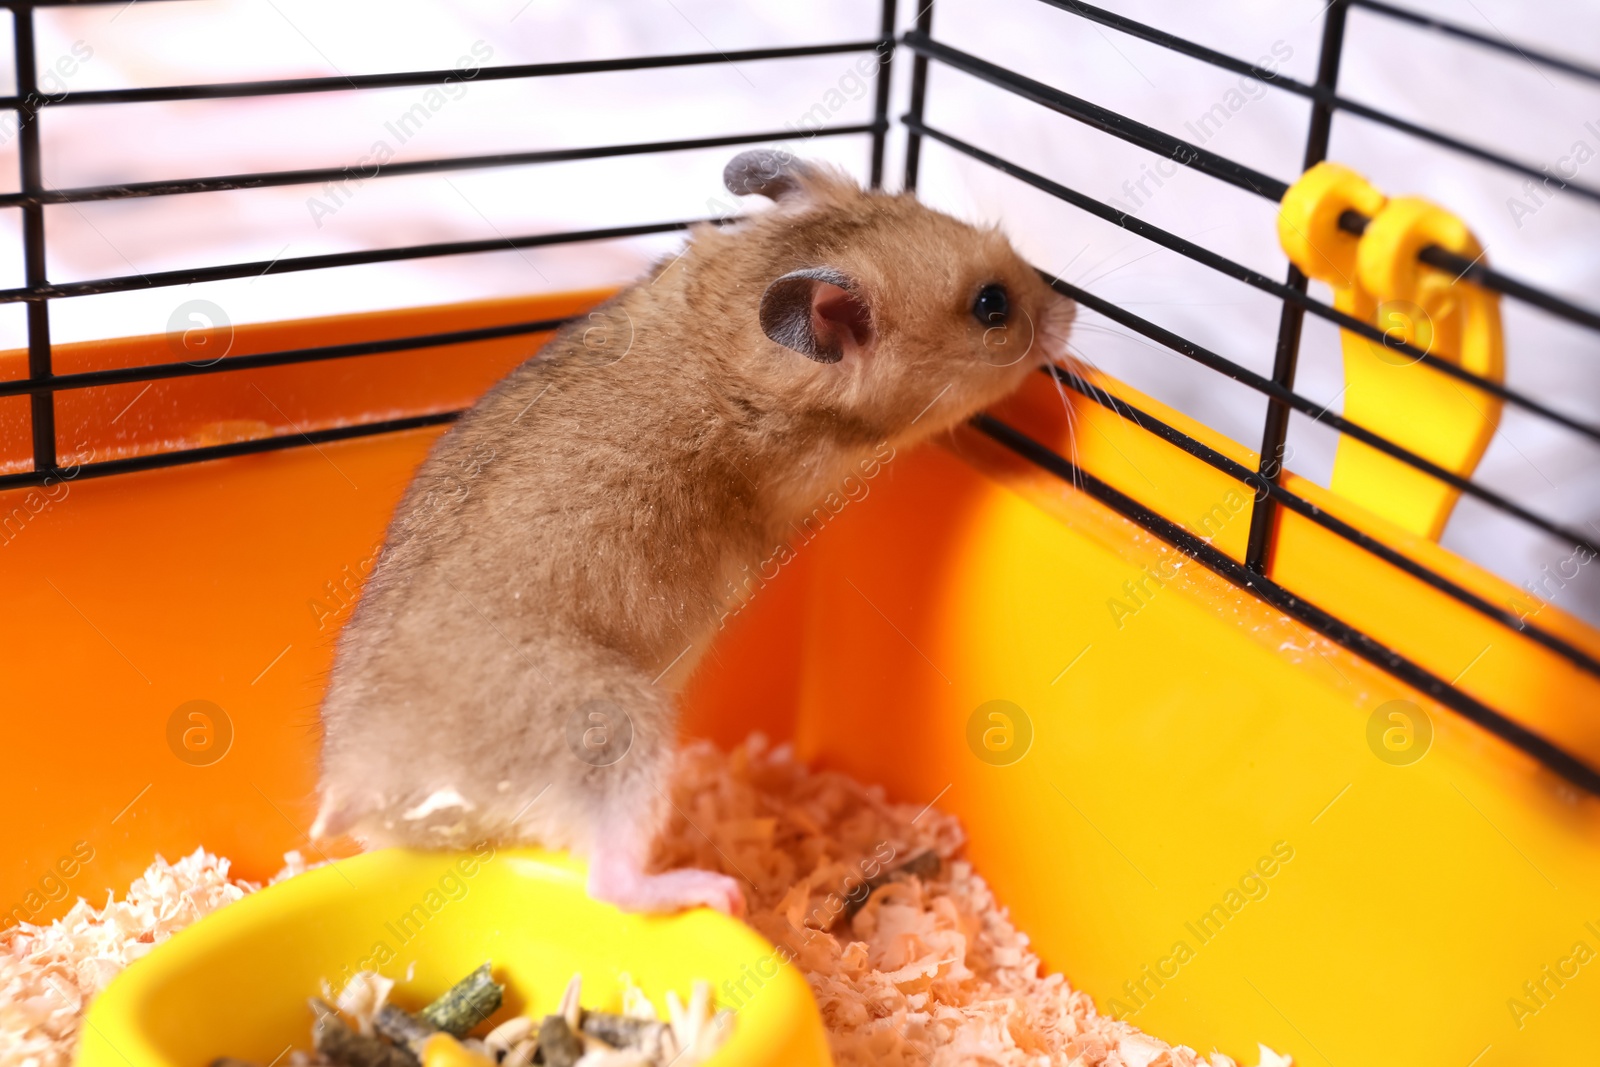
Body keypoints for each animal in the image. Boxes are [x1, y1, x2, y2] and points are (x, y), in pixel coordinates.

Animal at [312, 150, 1075, 915]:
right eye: (991, 306)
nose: (1070, 310)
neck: (729, 320)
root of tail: (363, 785)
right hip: (613, 726)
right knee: (610, 880)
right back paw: (714, 891)